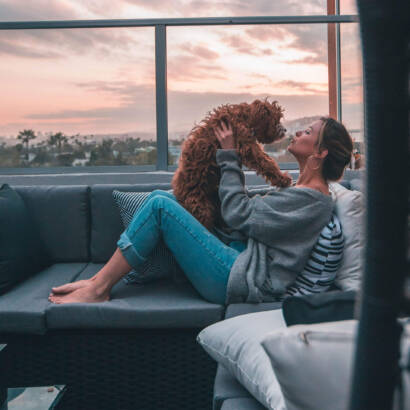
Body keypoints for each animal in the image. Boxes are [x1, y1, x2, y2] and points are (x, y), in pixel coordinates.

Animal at [171, 97, 294, 231]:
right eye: (276, 119)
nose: (285, 130)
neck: (245, 118)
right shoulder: (247, 146)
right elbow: (266, 162)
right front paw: (283, 179)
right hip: (200, 205)